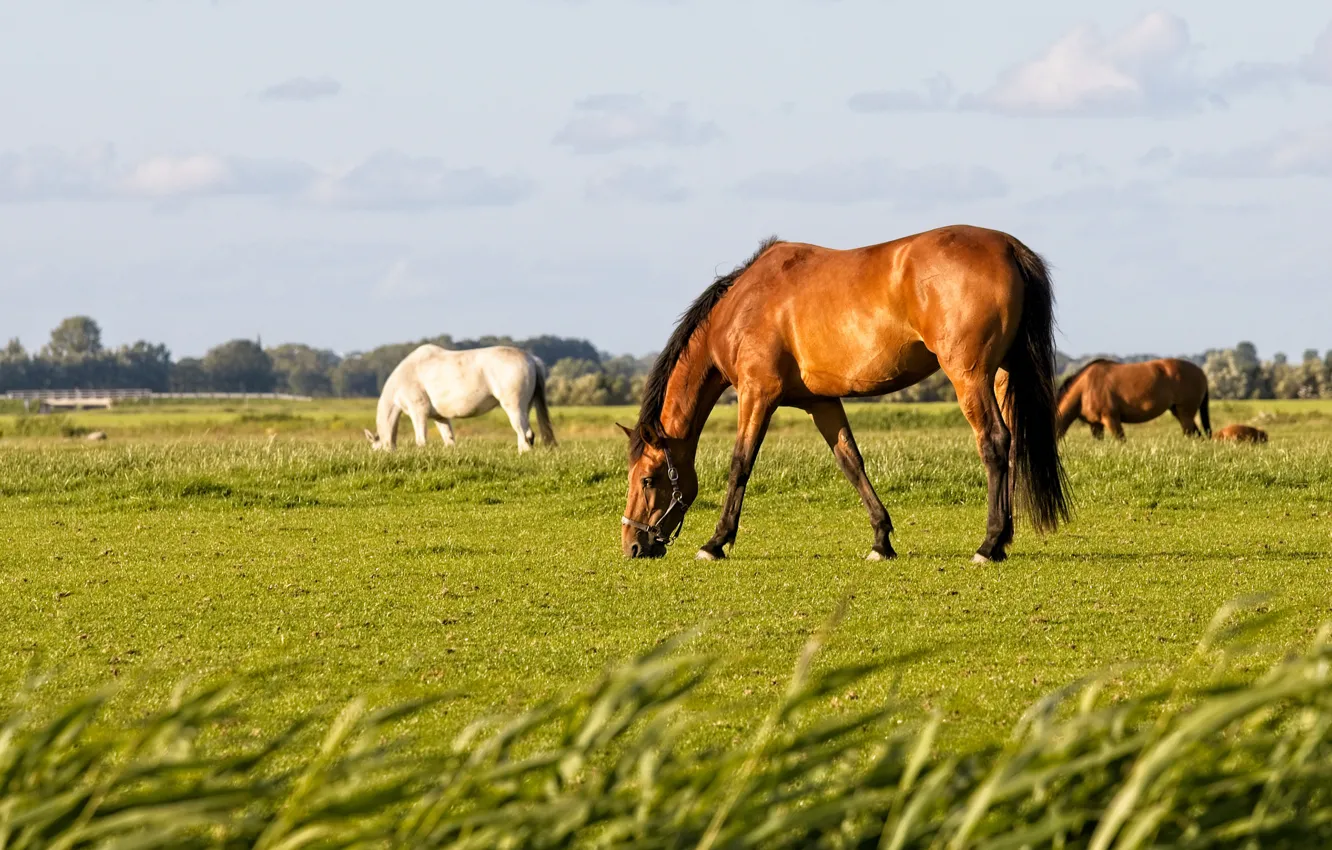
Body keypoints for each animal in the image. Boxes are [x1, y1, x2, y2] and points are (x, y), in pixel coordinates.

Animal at [363, 344, 556, 453]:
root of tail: (531, 359)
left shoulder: (418, 412)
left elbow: (421, 440)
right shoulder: (440, 418)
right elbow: (449, 440)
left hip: (514, 408)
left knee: (524, 434)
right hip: (525, 408)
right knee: (525, 434)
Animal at [619, 225, 1070, 565]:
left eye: (647, 479)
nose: (633, 546)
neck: (742, 306)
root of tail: (1008, 247)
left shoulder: (757, 394)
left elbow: (740, 464)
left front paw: (715, 543)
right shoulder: (821, 402)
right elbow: (851, 463)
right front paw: (881, 540)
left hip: (970, 377)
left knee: (994, 443)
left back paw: (989, 545)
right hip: (1004, 376)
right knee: (1011, 448)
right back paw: (1002, 540)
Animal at [1056, 358, 1210, 440]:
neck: (1086, 388)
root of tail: (1201, 372)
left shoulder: (1111, 419)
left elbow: (1121, 441)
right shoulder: (1096, 425)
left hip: (1185, 413)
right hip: (1178, 412)